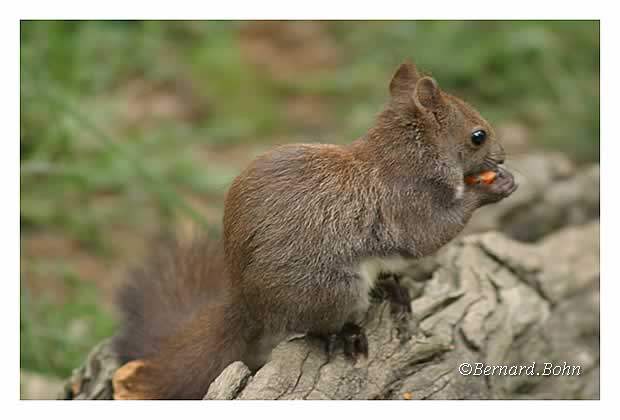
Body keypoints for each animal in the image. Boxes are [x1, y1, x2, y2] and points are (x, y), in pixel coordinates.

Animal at [112, 60, 520, 398]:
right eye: (478, 136)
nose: (502, 156)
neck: (405, 156)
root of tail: (248, 303)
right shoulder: (407, 202)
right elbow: (429, 234)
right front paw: (490, 189)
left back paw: (392, 288)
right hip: (332, 288)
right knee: (317, 326)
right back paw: (348, 334)